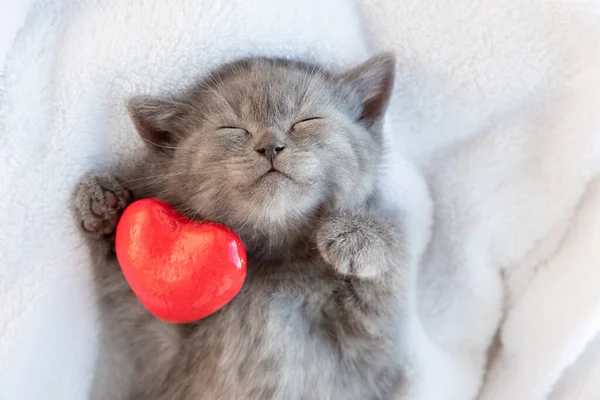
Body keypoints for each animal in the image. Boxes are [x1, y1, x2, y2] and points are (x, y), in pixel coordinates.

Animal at [71, 54, 408, 400]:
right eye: (232, 128)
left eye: (307, 120)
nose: (271, 145)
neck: (274, 263)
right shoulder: (161, 357)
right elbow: (127, 295)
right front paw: (105, 206)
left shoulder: (371, 361)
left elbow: (391, 276)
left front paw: (355, 236)